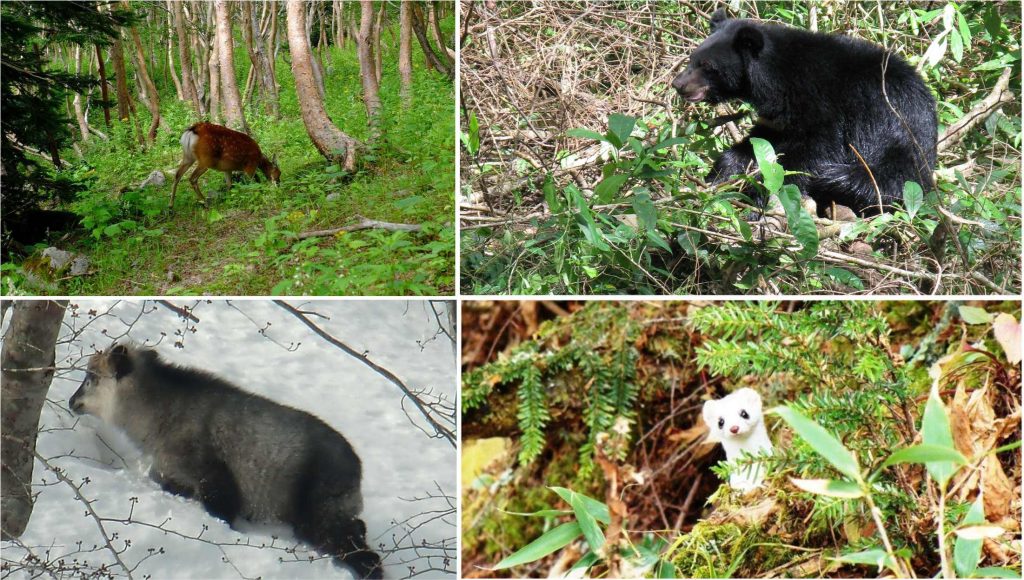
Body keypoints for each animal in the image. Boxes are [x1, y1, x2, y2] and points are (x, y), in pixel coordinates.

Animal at [671, 7, 937, 217]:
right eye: (693, 58)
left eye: (707, 66)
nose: (678, 84)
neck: (774, 81)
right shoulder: (777, 118)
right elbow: (759, 141)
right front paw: (719, 176)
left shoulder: (822, 103)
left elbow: (814, 152)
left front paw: (759, 199)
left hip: (897, 140)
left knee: (878, 181)